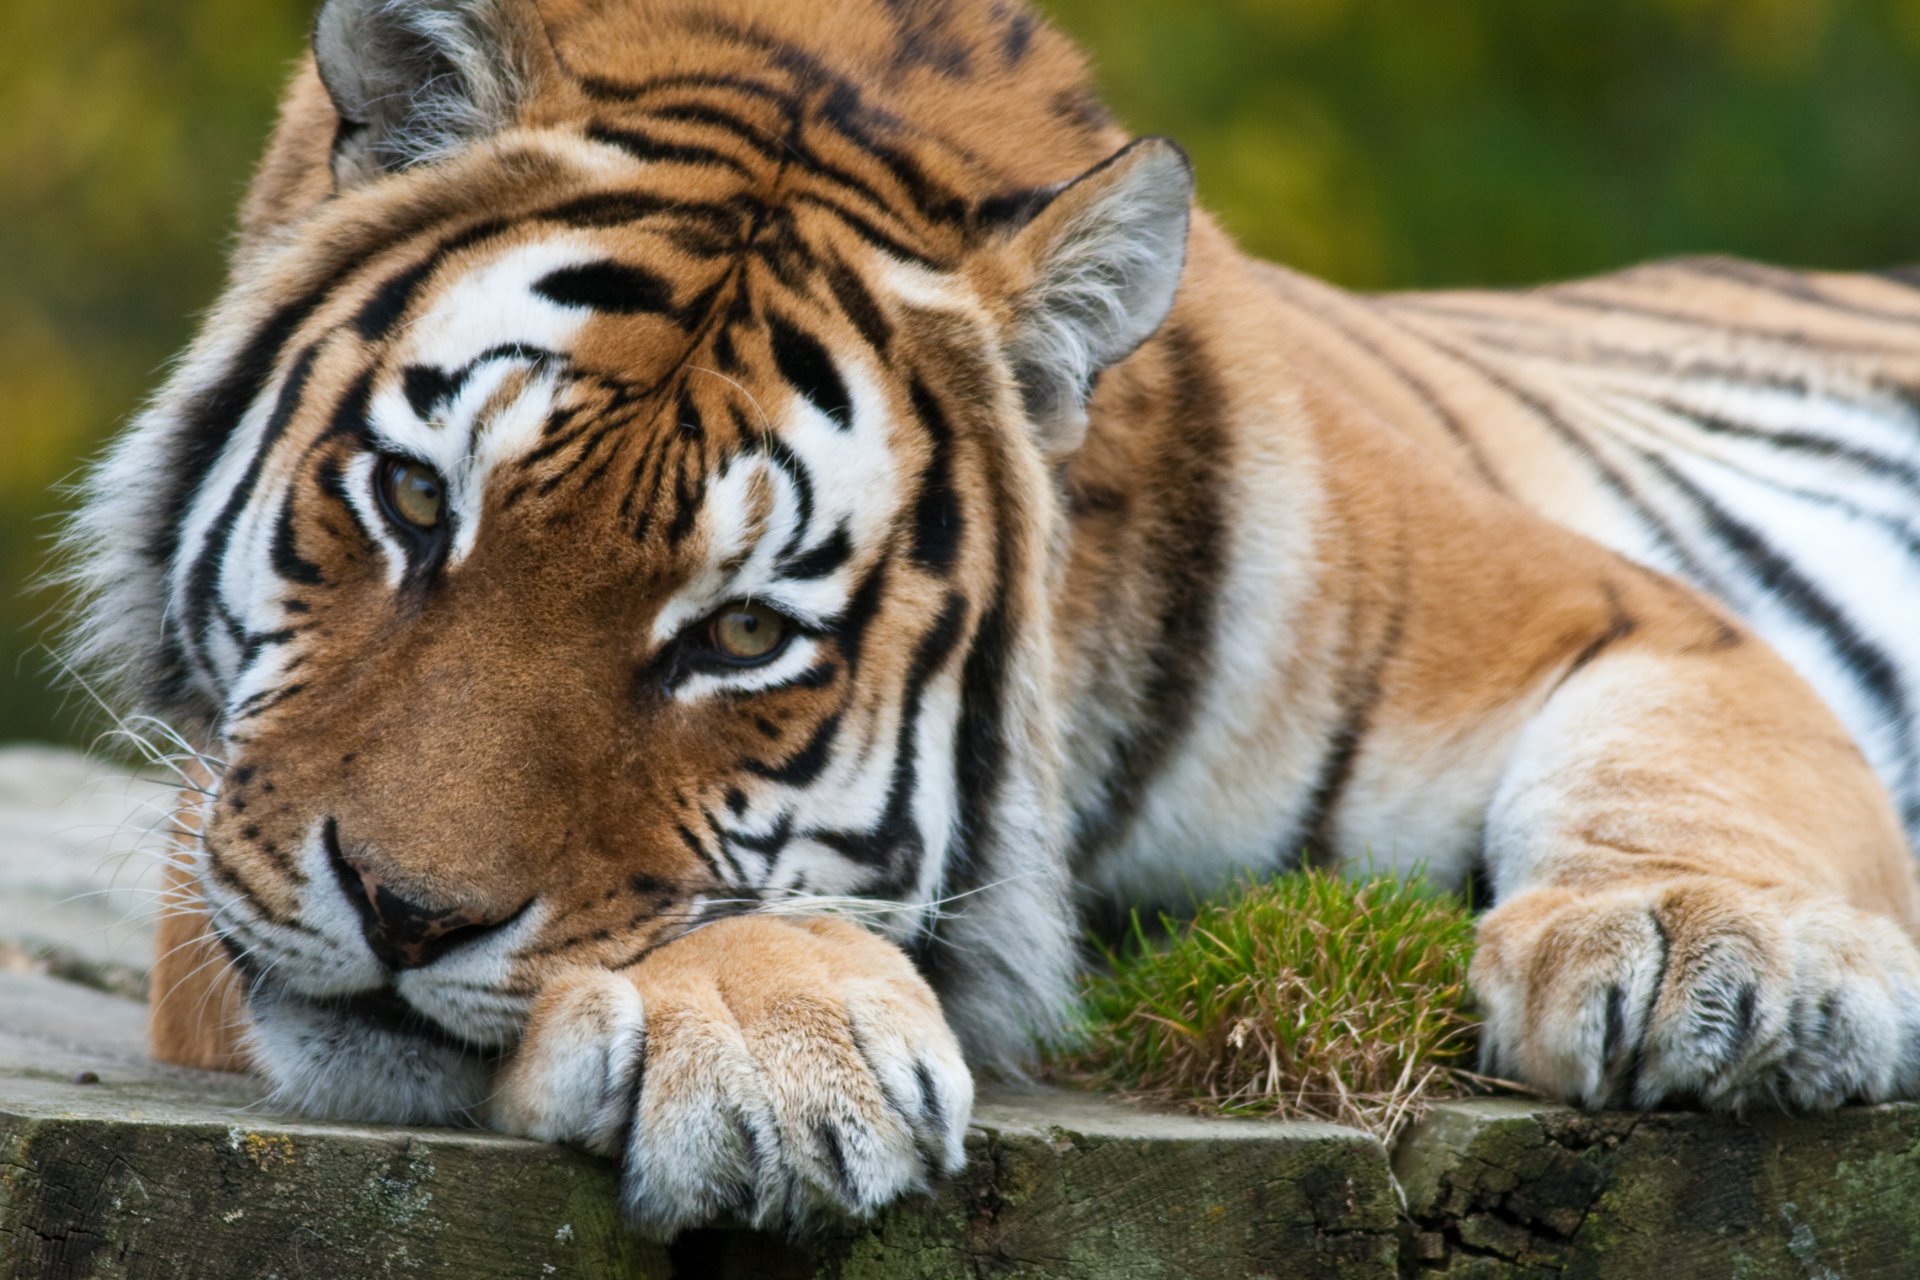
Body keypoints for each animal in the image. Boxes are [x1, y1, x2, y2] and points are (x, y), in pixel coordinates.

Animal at [66, 0, 1920, 1238]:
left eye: (742, 638)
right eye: (415, 503)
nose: (404, 913)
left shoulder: (1619, 614)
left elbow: (1684, 775)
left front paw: (1708, 956)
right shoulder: (212, 846)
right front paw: (775, 1039)